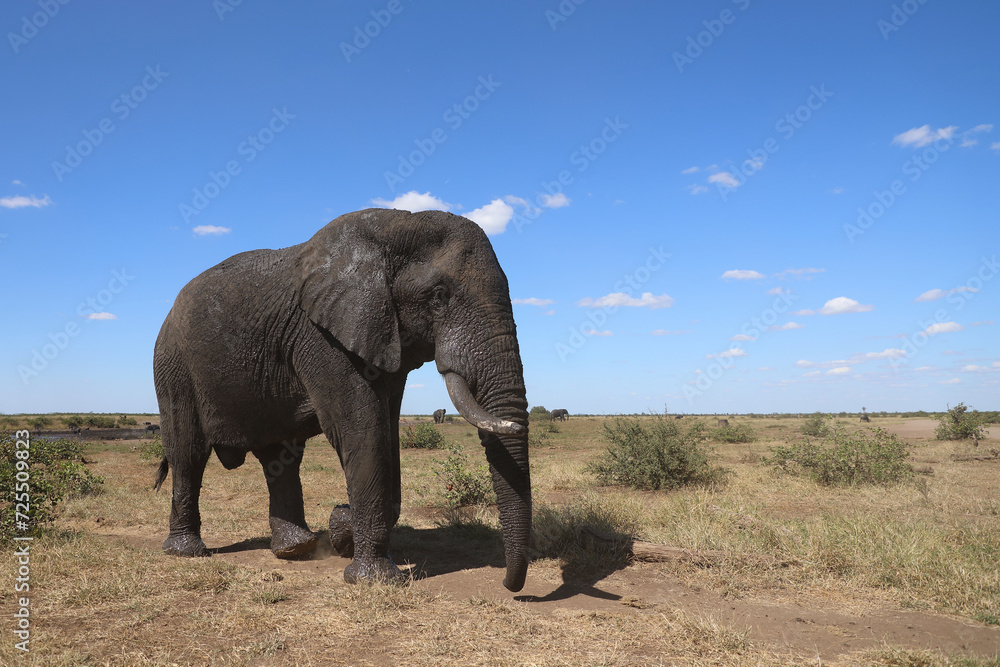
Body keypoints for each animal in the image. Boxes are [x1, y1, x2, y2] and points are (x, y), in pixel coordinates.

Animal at [152, 208, 531, 592]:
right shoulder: (322, 337)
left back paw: (295, 549)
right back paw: (187, 552)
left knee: (280, 457)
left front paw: (341, 528)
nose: (507, 585)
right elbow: (362, 430)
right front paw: (374, 579)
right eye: (439, 295)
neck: (395, 223)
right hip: (172, 365)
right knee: (187, 452)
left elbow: (387, 431)